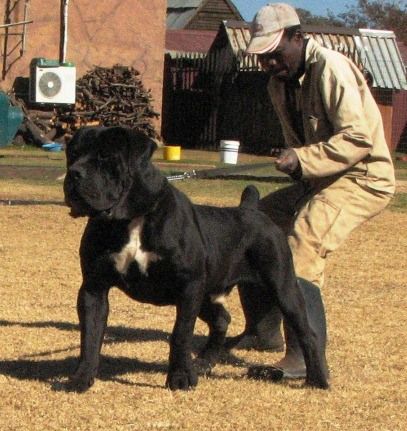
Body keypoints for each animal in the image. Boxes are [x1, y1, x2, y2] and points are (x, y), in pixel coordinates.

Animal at [63, 126, 330, 394]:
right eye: (72, 154)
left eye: (105, 157)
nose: (74, 173)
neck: (130, 218)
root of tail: (252, 210)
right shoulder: (93, 288)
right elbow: (90, 336)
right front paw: (81, 378)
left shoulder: (188, 286)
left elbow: (181, 333)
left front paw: (180, 377)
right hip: (207, 293)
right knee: (222, 319)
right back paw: (203, 363)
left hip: (282, 287)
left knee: (307, 332)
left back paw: (317, 379)